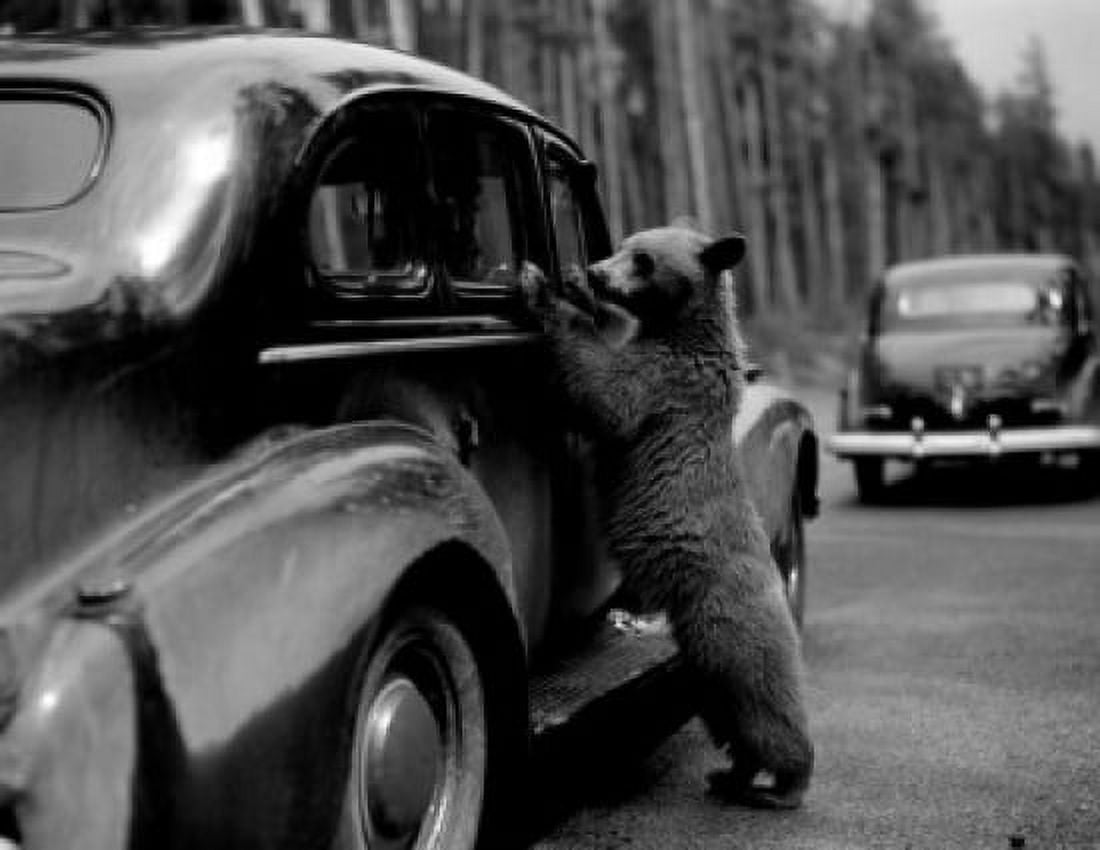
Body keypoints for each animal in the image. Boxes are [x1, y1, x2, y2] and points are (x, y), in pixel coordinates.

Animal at [521, 226, 813, 809]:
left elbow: (607, 394)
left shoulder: (667, 381)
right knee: (731, 722)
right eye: (623, 244)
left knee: (767, 711)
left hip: (729, 631)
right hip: (705, 669)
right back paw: (732, 776)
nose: (595, 272)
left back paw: (784, 784)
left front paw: (544, 287)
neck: (683, 327)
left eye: (643, 259)